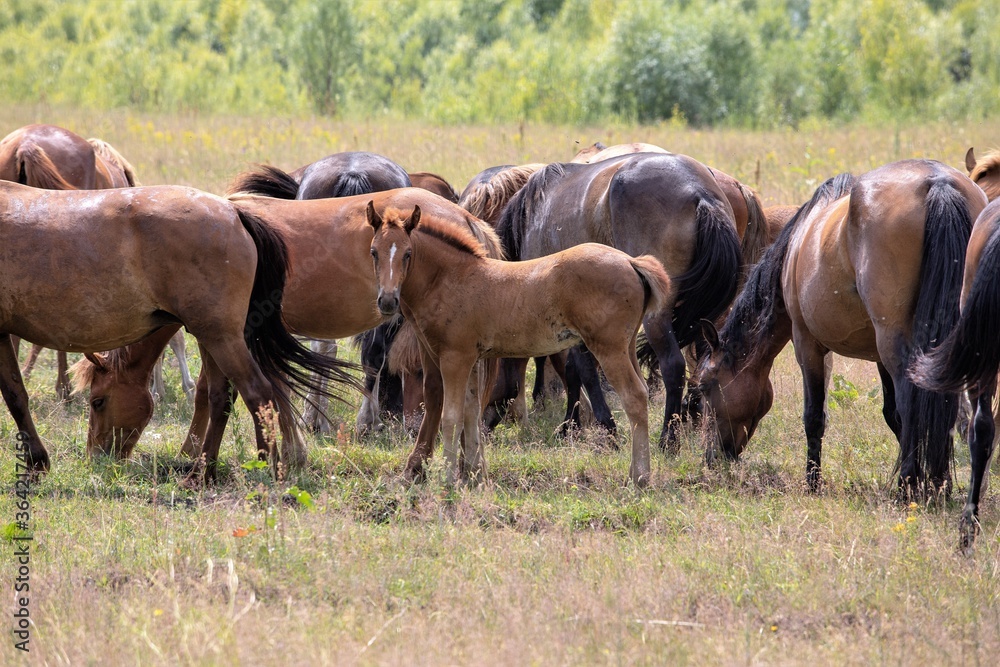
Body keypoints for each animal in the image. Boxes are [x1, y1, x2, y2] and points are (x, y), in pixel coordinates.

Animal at [0, 180, 360, 478]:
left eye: (97, 402)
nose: (97, 458)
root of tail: (234, 212)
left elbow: (15, 396)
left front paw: (36, 462)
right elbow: (17, 393)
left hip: (221, 338)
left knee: (257, 392)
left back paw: (263, 467)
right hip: (216, 337)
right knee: (222, 397)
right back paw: (203, 472)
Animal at [71, 188, 504, 472]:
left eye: (97, 401)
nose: (97, 456)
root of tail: (466, 218)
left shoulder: (226, 336)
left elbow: (213, 393)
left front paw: (193, 453)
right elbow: (269, 391)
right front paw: (291, 451)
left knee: (437, 393)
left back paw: (421, 463)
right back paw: (467, 463)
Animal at [368, 202, 672, 486]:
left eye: (407, 253)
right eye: (373, 252)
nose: (387, 301)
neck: (451, 278)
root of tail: (632, 262)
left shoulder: (455, 358)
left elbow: (451, 417)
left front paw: (448, 480)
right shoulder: (471, 358)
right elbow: (471, 411)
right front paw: (475, 476)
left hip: (609, 349)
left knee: (634, 397)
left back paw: (640, 478)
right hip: (626, 346)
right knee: (642, 392)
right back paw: (635, 472)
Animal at [692, 162, 988, 496]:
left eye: (704, 385)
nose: (711, 457)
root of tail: (938, 182)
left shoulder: (807, 344)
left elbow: (815, 416)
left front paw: (812, 482)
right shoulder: (877, 356)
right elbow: (893, 416)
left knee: (912, 403)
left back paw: (906, 486)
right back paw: (939, 483)